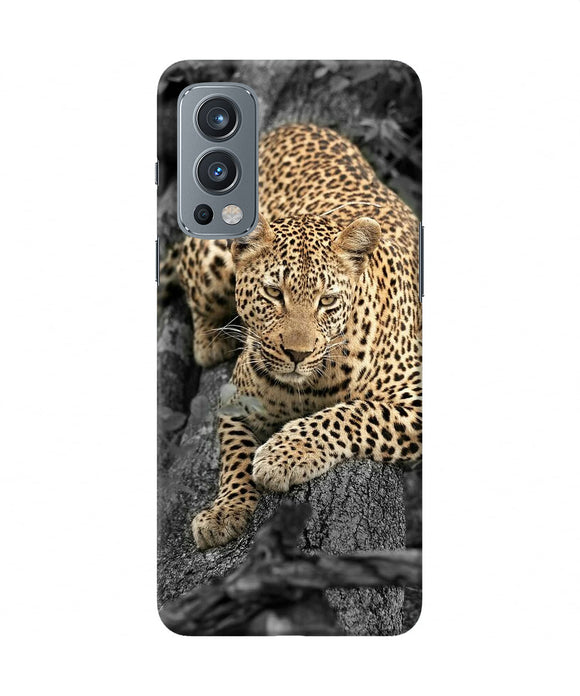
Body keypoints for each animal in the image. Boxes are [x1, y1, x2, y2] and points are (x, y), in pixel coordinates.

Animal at [174, 123, 422, 550]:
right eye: (275, 293)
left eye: (327, 300)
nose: (296, 354)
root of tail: (291, 126)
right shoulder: (235, 401)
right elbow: (234, 456)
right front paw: (225, 511)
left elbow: (353, 413)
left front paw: (283, 454)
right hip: (211, 257)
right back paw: (211, 341)